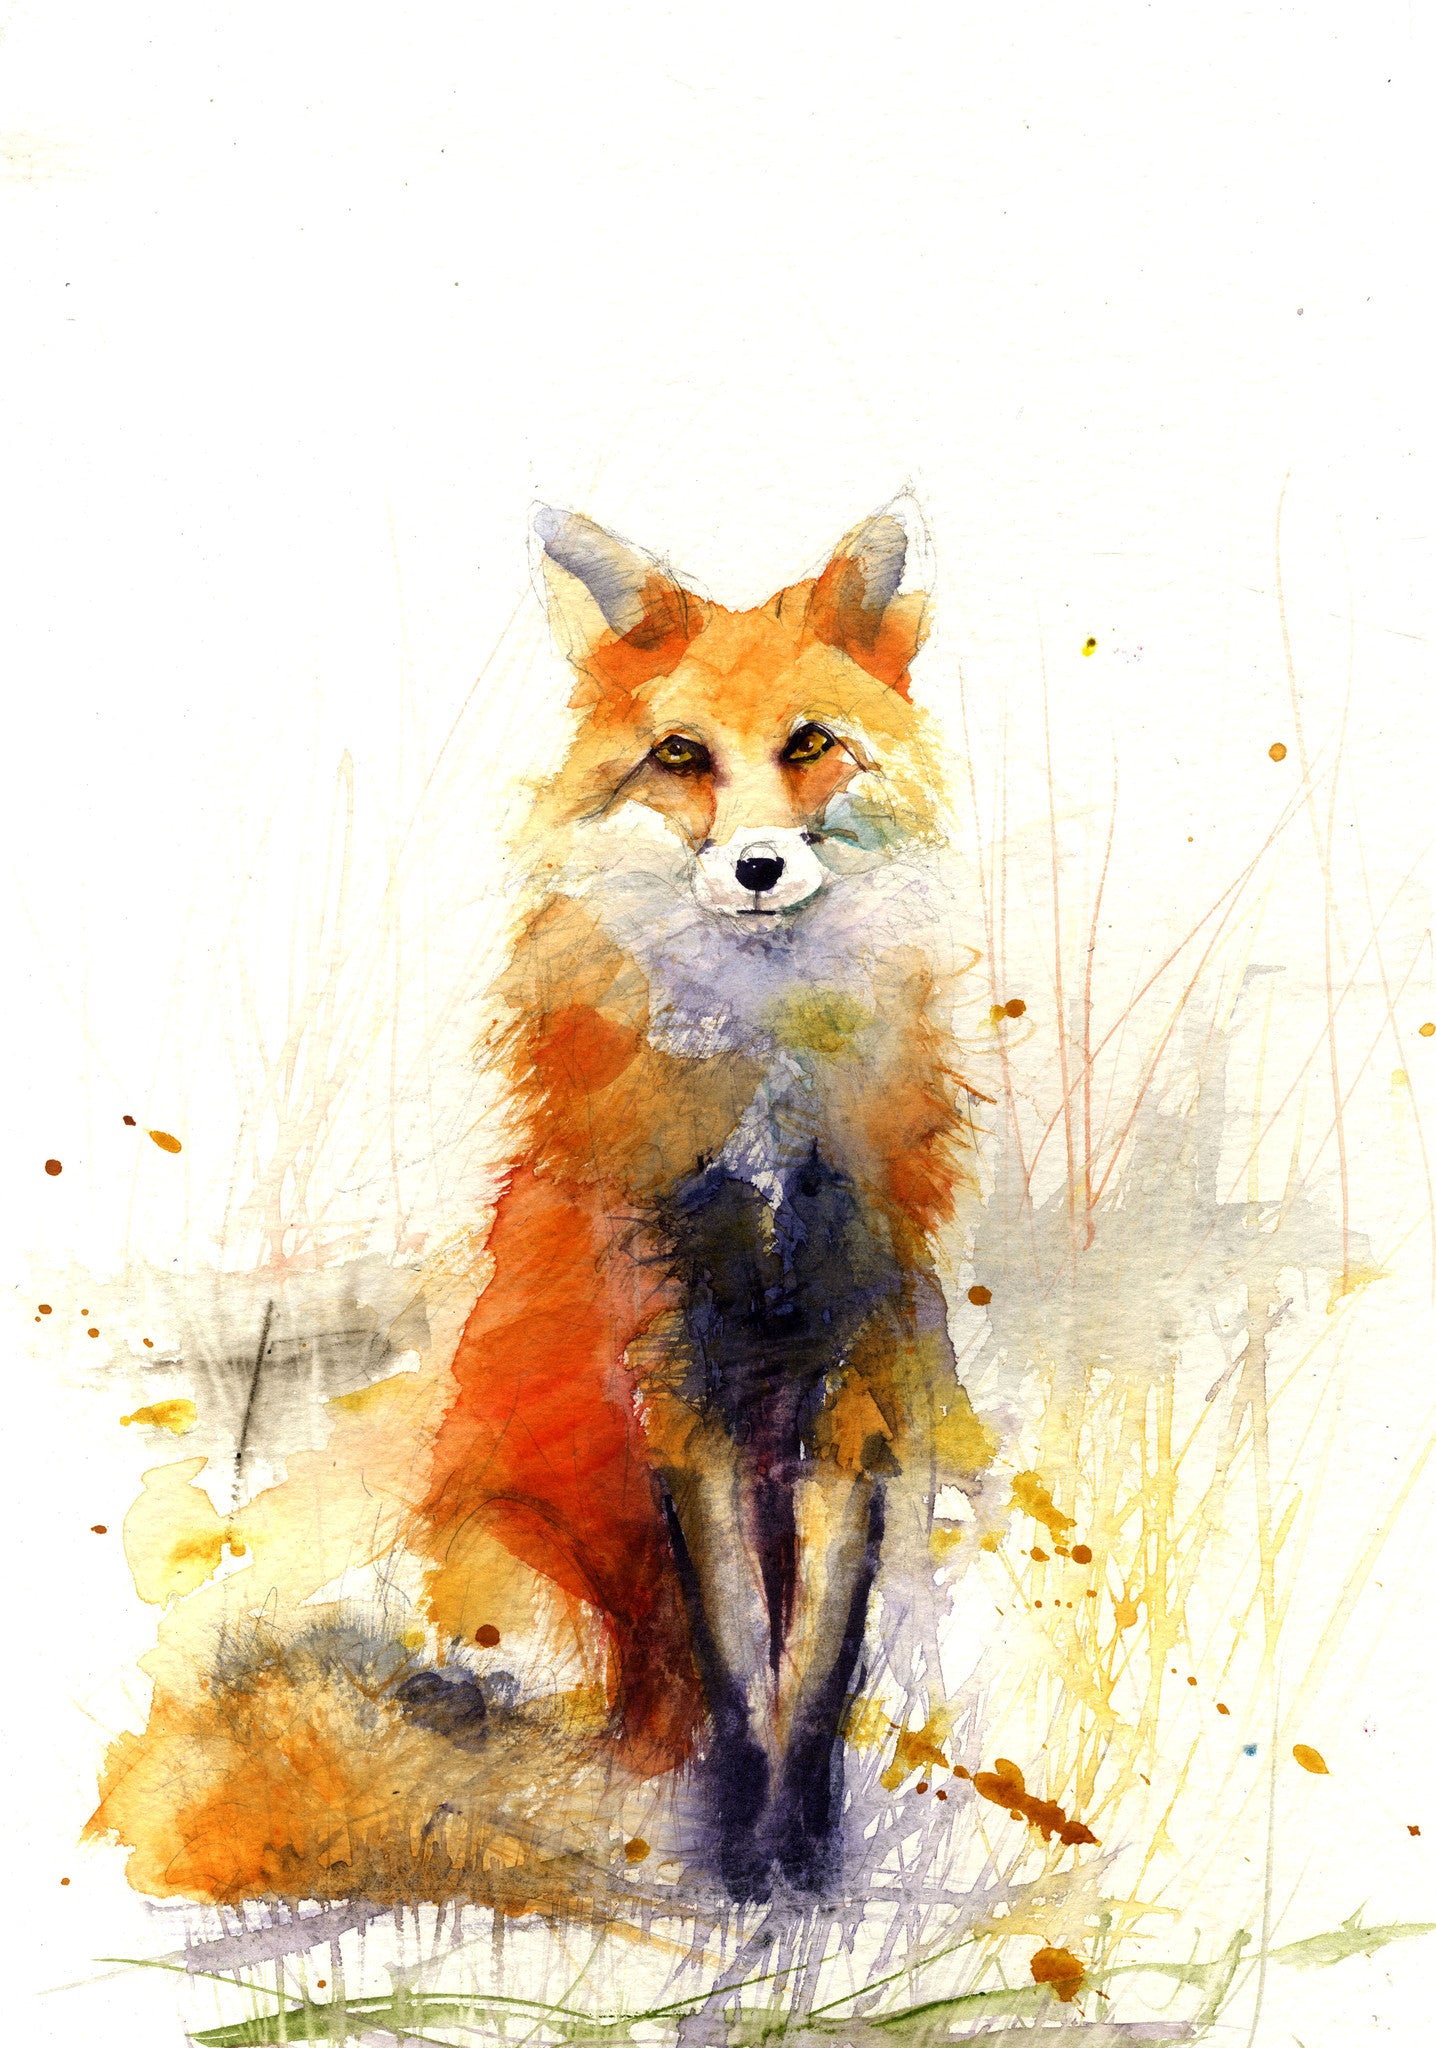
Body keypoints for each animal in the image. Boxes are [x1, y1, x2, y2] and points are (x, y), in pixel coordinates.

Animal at [417, 500, 982, 1900]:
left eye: (808, 744)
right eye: (681, 755)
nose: (759, 866)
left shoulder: (854, 1383)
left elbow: (813, 1661)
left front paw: (803, 1854)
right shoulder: (680, 1388)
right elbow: (736, 1659)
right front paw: (742, 1852)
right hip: (516, 1602)